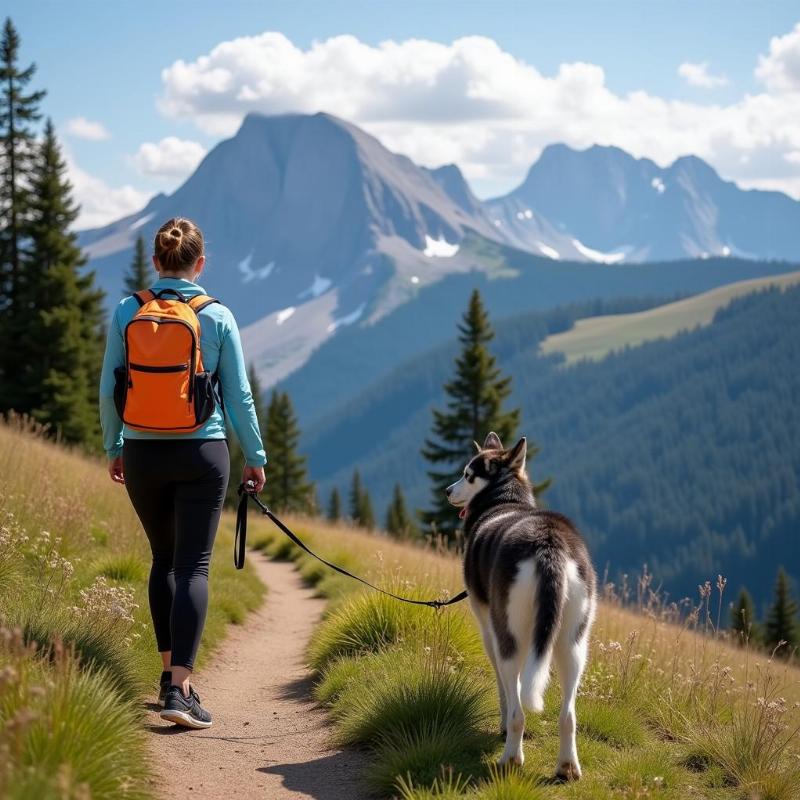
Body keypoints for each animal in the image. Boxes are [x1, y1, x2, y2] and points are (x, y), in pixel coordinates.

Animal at [446, 434, 596, 780]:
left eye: (467, 475)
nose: (447, 491)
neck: (505, 502)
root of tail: (549, 544)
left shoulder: (489, 630)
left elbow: (505, 689)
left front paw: (501, 725)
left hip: (509, 637)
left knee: (518, 712)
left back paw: (511, 757)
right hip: (573, 644)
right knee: (568, 716)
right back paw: (567, 766)